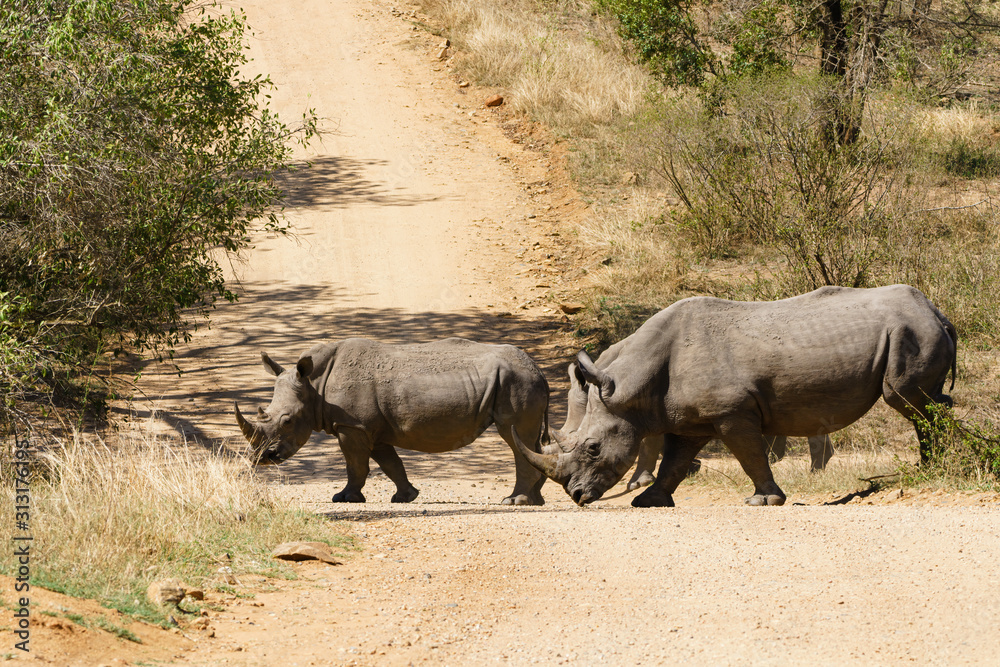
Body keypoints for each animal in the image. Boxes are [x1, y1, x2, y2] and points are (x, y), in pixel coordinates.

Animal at [235, 338, 550, 505]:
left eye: (287, 421)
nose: (263, 458)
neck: (314, 385)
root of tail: (540, 371)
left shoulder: (352, 426)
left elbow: (355, 465)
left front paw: (344, 498)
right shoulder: (368, 428)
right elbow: (390, 464)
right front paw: (405, 497)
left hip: (517, 383)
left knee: (514, 436)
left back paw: (514, 502)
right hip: (520, 381)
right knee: (529, 442)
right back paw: (535, 501)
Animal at [516, 285, 957, 507]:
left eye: (592, 448)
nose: (576, 496)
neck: (628, 385)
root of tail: (938, 311)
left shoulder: (731, 411)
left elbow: (749, 455)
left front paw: (764, 501)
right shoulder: (690, 419)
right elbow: (675, 462)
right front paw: (649, 502)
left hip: (910, 329)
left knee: (905, 398)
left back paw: (936, 467)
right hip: (913, 328)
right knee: (923, 403)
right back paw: (933, 466)